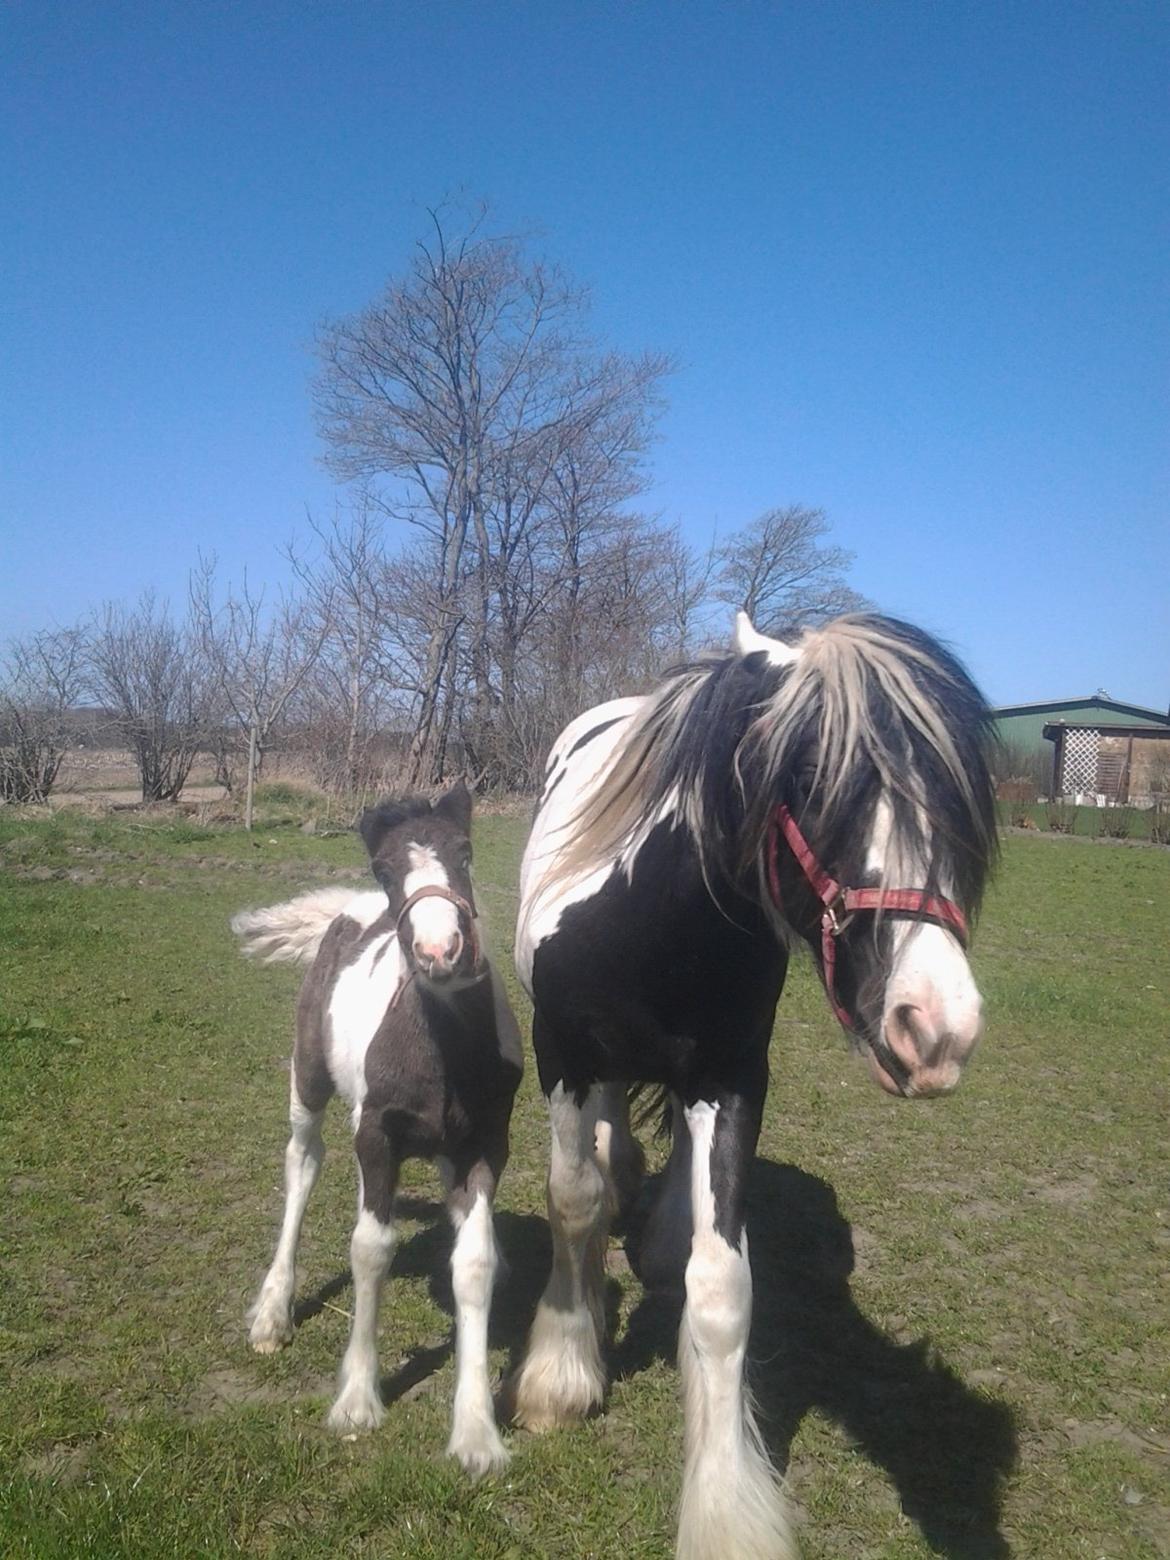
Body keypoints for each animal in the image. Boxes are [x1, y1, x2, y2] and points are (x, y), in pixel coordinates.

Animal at [232, 780, 521, 1472]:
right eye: (385, 869)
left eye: (465, 852)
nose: (441, 952)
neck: (441, 1045)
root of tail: (346, 907)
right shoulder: (376, 1137)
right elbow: (369, 1250)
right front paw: (358, 1399)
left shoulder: (484, 1145)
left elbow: (473, 1262)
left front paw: (476, 1432)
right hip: (308, 1082)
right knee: (303, 1162)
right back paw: (272, 1313)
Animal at [511, 614, 998, 1553]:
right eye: (811, 781)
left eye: (951, 799)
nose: (938, 1028)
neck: (650, 922)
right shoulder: (563, 1054)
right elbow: (573, 1202)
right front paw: (562, 1368)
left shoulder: (734, 1077)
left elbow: (721, 1288)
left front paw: (724, 1505)